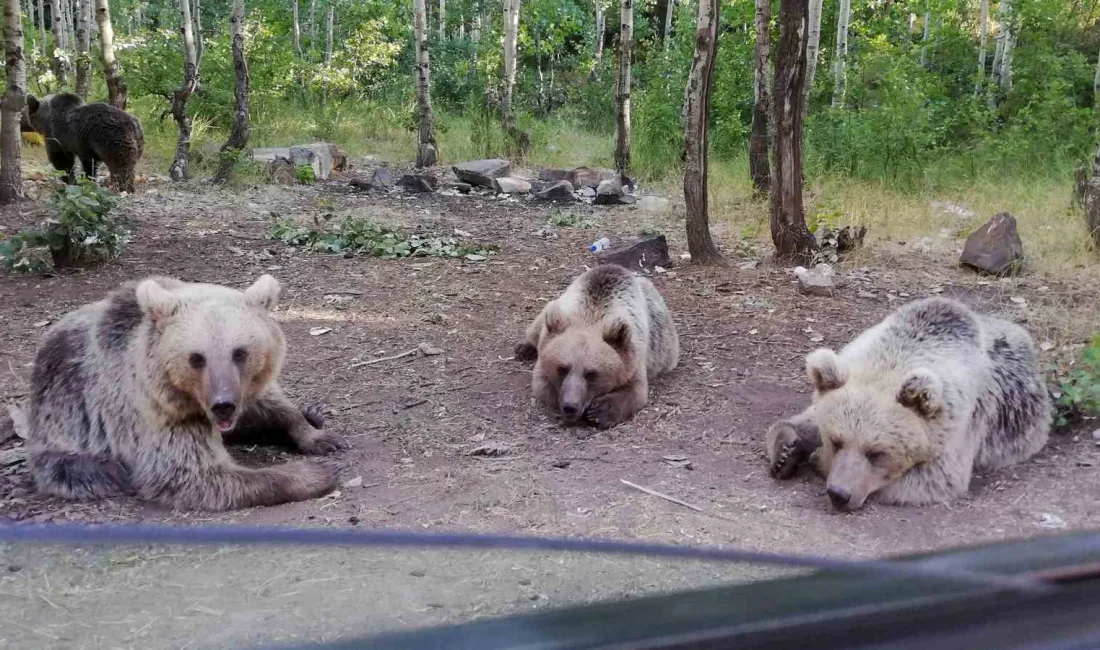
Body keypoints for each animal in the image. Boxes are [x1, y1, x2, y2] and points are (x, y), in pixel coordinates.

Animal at [13, 271, 343, 510]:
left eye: (240, 352)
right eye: (196, 357)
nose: (223, 405)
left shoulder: (244, 391)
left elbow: (271, 406)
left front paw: (318, 433)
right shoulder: (156, 413)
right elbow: (193, 474)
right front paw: (313, 473)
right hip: (62, 430)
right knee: (85, 469)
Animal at [514, 261, 677, 428]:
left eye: (591, 373)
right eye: (562, 368)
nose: (570, 406)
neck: (592, 317)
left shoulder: (634, 355)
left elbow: (636, 390)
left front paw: (599, 412)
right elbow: (544, 386)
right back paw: (524, 349)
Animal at [765, 296, 1047, 510]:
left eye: (877, 452)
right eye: (836, 440)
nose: (839, 494)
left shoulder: (959, 429)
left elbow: (934, 479)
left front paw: (816, 459)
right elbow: (804, 419)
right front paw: (787, 451)